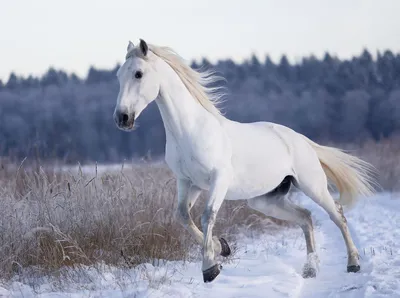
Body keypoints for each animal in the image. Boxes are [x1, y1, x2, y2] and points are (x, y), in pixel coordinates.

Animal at [112, 40, 378, 284]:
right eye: (118, 76)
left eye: (138, 73)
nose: (122, 118)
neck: (190, 130)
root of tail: (301, 139)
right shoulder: (188, 183)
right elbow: (183, 216)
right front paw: (221, 247)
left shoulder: (219, 179)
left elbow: (207, 216)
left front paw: (210, 268)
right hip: (265, 200)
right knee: (305, 217)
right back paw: (310, 270)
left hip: (313, 186)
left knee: (338, 215)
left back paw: (353, 263)